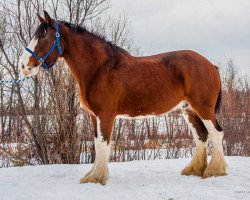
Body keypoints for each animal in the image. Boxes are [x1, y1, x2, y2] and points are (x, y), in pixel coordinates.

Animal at [18, 11, 228, 186]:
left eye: (43, 36)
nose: (23, 65)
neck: (99, 68)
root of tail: (210, 64)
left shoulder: (105, 115)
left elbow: (103, 144)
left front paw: (97, 178)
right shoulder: (94, 116)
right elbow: (97, 143)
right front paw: (92, 175)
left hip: (203, 108)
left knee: (216, 133)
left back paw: (214, 171)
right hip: (188, 110)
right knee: (201, 136)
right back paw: (194, 170)